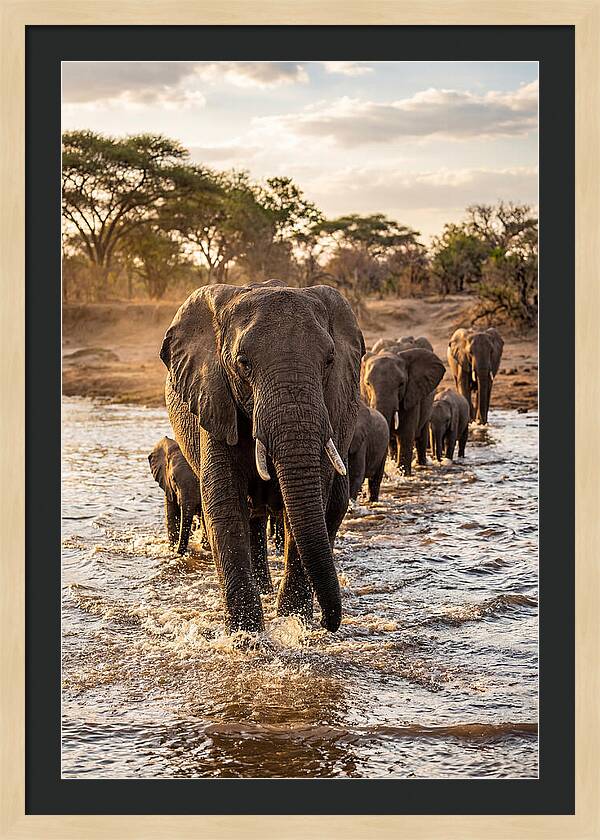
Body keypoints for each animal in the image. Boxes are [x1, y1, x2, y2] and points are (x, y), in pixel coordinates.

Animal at [160, 281, 364, 633]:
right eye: (243, 363)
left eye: (329, 360)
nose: (329, 623)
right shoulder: (214, 399)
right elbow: (225, 505)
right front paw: (247, 637)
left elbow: (311, 502)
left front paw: (294, 625)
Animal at [361, 341, 445, 476]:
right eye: (367, 384)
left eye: (401, 384)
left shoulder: (412, 394)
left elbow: (405, 436)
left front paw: (404, 475)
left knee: (422, 434)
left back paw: (422, 464)